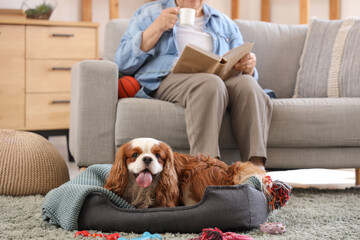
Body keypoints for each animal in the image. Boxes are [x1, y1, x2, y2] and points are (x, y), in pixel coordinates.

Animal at [102, 138, 266, 209]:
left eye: (158, 156)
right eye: (135, 155)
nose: (148, 158)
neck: (142, 189)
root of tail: (229, 170)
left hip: (193, 178)